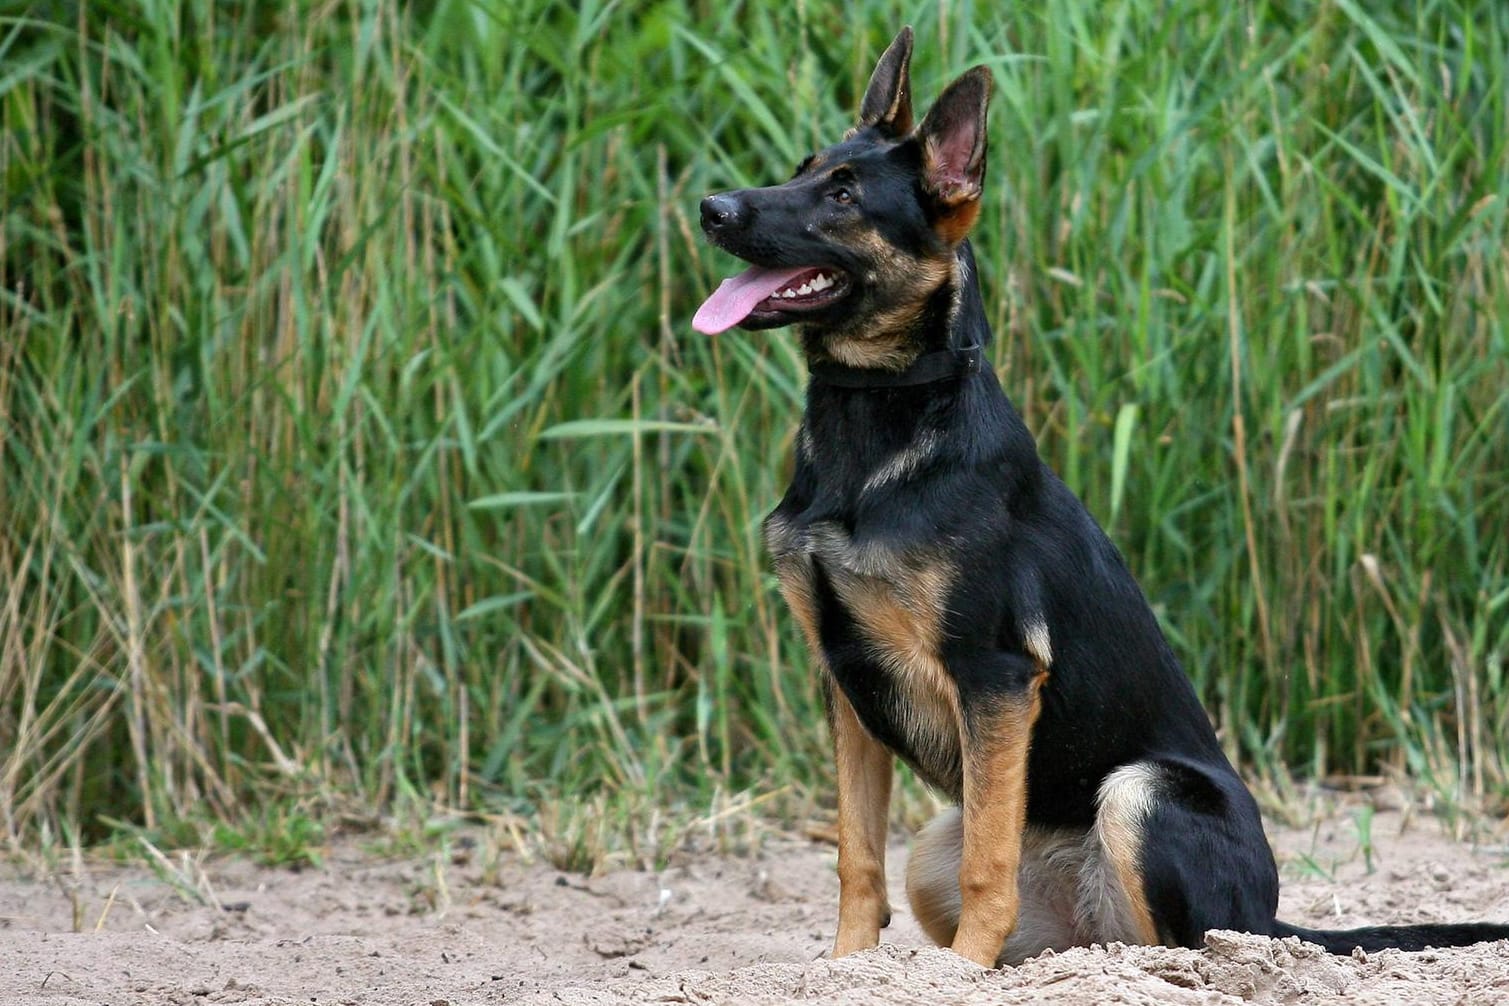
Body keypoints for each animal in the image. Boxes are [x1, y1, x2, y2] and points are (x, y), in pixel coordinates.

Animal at [691, 23, 1509, 965]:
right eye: (802, 168)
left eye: (843, 194)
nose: (711, 207)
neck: (878, 418)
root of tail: (1270, 917)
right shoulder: (845, 680)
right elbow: (856, 857)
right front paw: (847, 969)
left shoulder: (995, 675)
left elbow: (987, 865)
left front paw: (959, 974)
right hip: (941, 843)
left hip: (1138, 793)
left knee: (1190, 943)